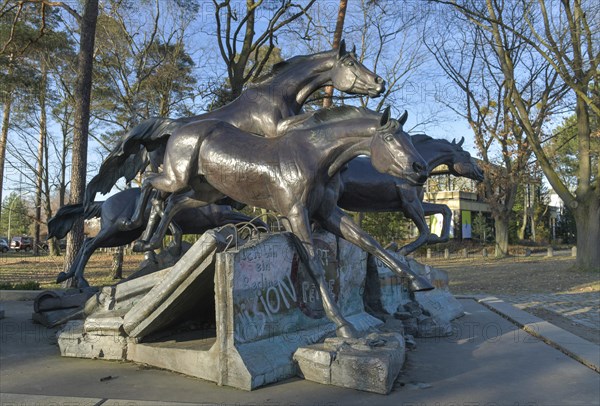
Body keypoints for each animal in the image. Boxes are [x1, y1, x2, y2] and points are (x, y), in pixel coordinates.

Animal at [83, 41, 384, 208]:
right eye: (350, 63)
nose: (379, 82)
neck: (276, 93)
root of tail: (164, 130)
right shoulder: (275, 128)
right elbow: (309, 121)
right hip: (174, 174)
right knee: (157, 195)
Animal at [127, 106, 432, 338]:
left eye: (407, 137)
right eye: (390, 138)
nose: (421, 169)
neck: (315, 158)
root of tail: (177, 131)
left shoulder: (328, 213)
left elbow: (369, 242)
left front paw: (417, 281)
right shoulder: (296, 214)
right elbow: (314, 265)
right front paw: (342, 324)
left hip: (205, 191)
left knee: (173, 203)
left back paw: (150, 242)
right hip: (177, 177)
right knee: (151, 185)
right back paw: (139, 236)